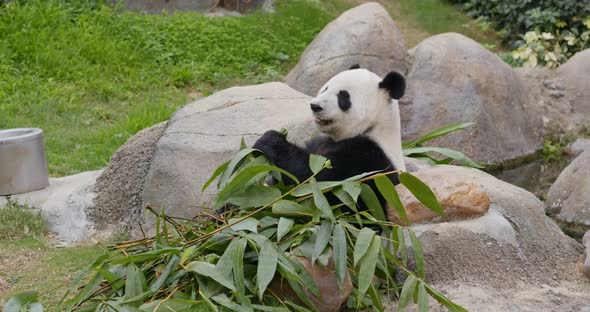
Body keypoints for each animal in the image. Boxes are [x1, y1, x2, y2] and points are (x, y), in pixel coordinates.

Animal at [254, 66, 408, 214]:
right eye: (326, 88)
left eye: (343, 96)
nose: (315, 106)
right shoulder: (319, 143)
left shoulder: (367, 161)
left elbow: (311, 182)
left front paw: (271, 140)